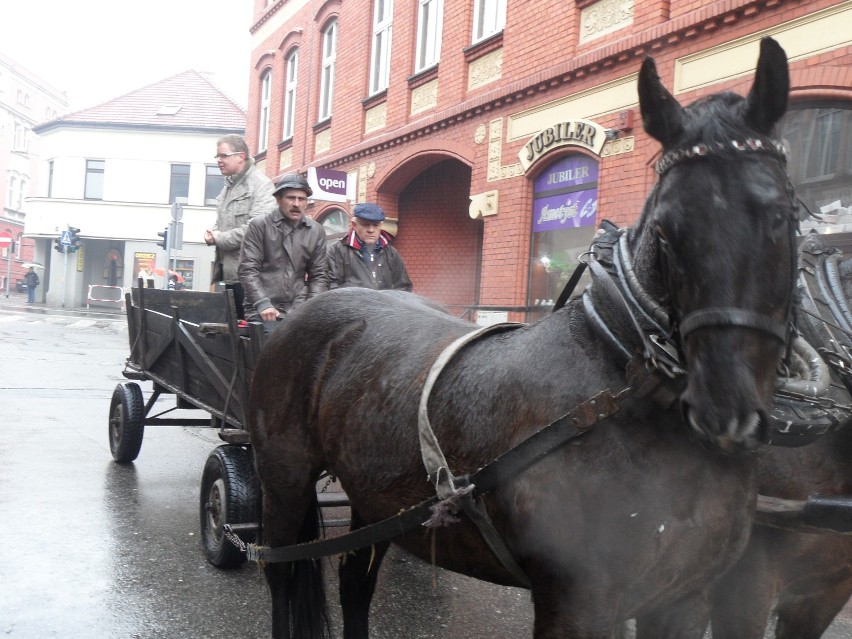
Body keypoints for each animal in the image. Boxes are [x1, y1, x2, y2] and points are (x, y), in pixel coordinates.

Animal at [250, 37, 796, 636]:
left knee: (354, 579)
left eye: (781, 214)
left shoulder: (683, 601)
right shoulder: (577, 604)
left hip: (373, 499)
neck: (625, 390)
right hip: (283, 478)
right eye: (666, 230)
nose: (726, 407)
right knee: (280, 573)